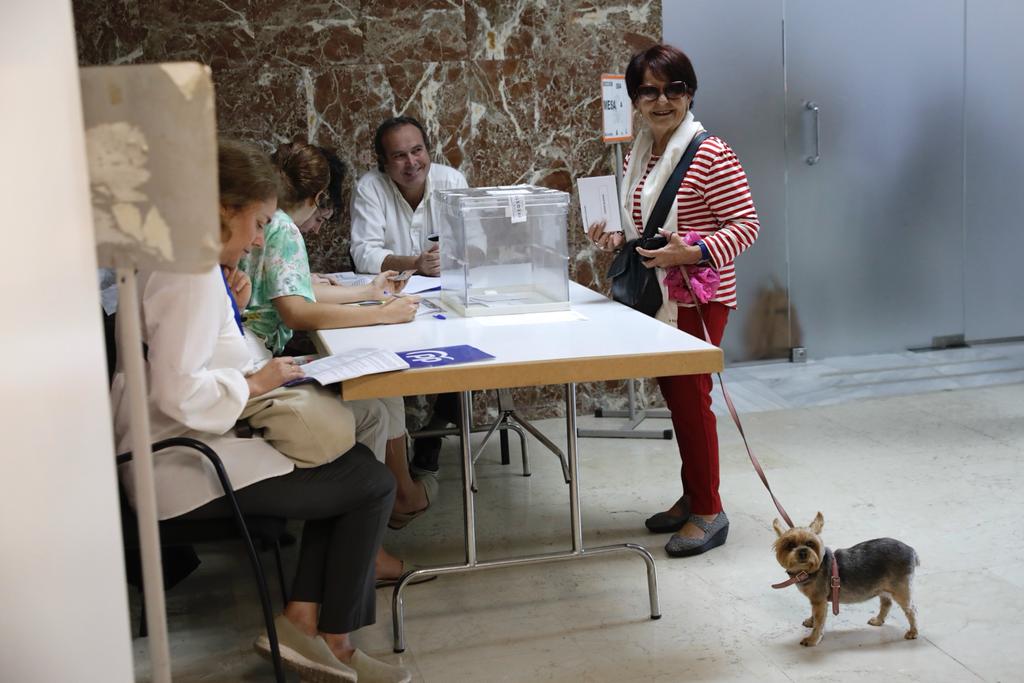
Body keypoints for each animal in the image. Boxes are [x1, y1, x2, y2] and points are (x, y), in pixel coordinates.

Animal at [770, 511, 925, 647]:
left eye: (810, 543)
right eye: (790, 545)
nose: (803, 552)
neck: (809, 569)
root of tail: (911, 550)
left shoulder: (819, 601)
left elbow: (819, 621)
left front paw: (812, 639)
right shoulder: (815, 600)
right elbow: (813, 614)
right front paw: (810, 621)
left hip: (901, 590)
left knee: (911, 610)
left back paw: (913, 632)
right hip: (884, 587)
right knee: (886, 603)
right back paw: (878, 620)